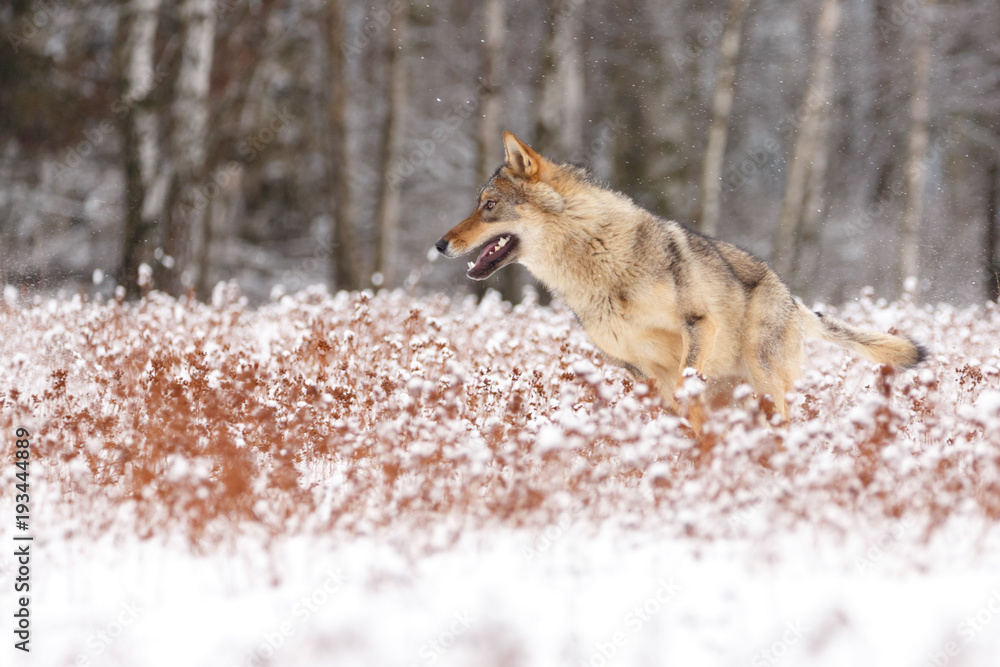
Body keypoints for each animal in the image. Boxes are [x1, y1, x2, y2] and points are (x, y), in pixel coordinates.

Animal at [435, 132, 926, 428]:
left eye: (489, 205)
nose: (440, 243)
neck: (598, 260)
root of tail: (791, 295)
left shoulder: (698, 326)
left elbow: (690, 393)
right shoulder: (640, 371)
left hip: (764, 377)